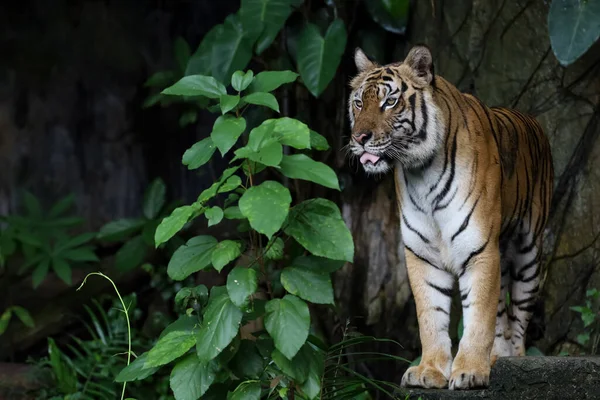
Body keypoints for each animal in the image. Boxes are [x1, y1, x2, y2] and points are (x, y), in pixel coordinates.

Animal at [346, 45, 552, 390]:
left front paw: (469, 371)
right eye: (359, 102)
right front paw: (429, 370)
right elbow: (431, 316)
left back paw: (513, 358)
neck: (421, 173)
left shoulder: (479, 250)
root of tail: (533, 120)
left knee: (518, 318)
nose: (359, 137)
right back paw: (495, 357)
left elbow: (478, 315)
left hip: (528, 256)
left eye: (390, 102)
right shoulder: (422, 254)